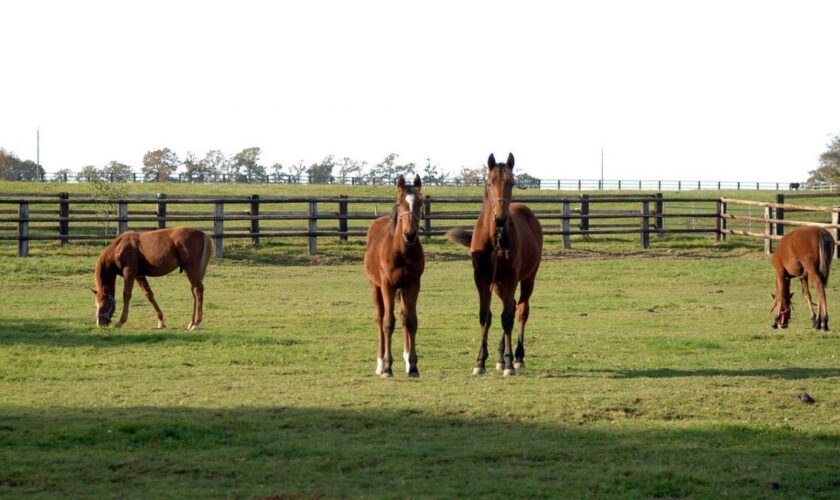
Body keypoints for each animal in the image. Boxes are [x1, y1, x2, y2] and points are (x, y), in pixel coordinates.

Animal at [364, 174, 426, 376]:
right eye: (399, 203)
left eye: (420, 203)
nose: (410, 234)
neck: (402, 251)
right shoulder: (387, 285)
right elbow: (388, 323)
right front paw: (387, 366)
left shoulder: (413, 284)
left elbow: (411, 321)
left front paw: (413, 365)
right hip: (375, 287)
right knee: (380, 317)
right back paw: (379, 363)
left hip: (402, 290)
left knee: (403, 316)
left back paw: (406, 359)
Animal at [446, 152, 544, 376]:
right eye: (490, 182)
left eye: (512, 182)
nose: (500, 218)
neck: (495, 237)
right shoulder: (482, 278)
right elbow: (486, 316)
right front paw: (480, 362)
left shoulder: (511, 278)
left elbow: (506, 318)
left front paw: (509, 364)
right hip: (498, 284)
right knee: (512, 306)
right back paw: (501, 356)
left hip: (527, 278)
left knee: (521, 310)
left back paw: (517, 357)